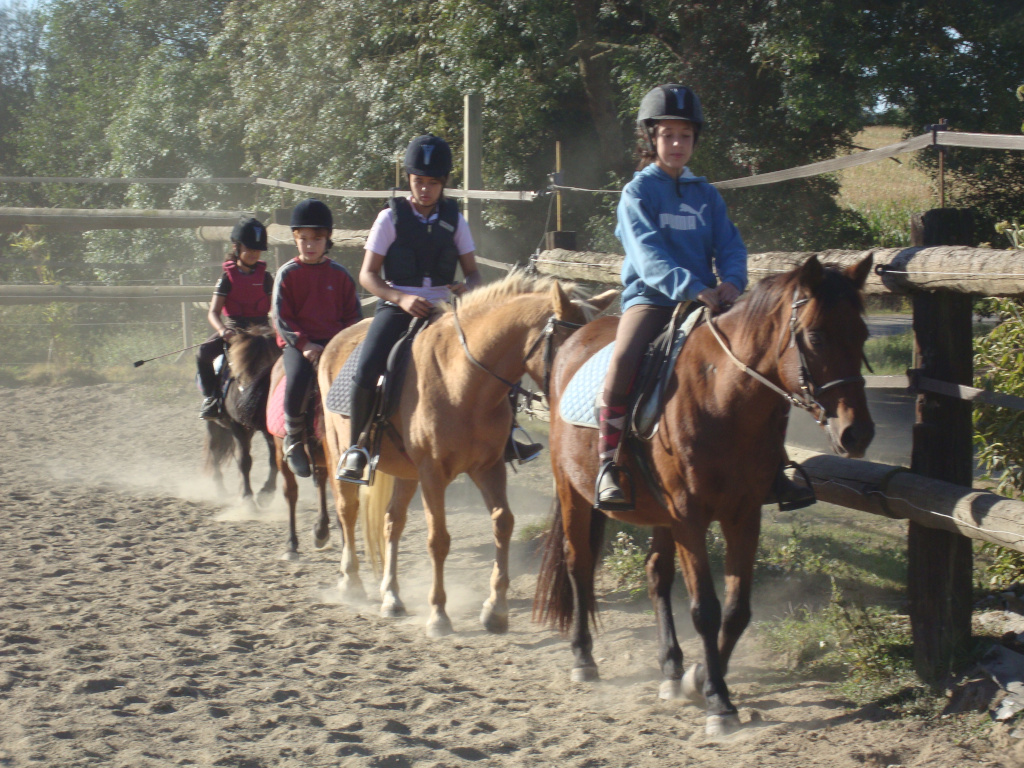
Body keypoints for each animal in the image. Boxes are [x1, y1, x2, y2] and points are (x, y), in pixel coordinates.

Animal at [202, 325, 280, 512]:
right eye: (242, 369)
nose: (247, 406)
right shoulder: (236, 425)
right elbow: (244, 460)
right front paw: (247, 498)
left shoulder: (267, 429)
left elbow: (274, 459)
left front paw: (266, 493)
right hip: (214, 426)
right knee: (215, 451)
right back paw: (221, 489)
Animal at [315, 274, 614, 638]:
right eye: (576, 348)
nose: (596, 408)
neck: (465, 381)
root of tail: (336, 340)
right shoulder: (432, 474)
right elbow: (438, 540)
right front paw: (438, 615)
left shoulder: (489, 467)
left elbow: (503, 523)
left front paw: (495, 610)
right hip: (339, 452)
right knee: (347, 510)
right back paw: (352, 584)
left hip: (405, 472)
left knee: (392, 522)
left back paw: (392, 597)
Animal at [532, 257, 876, 741]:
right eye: (816, 336)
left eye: (862, 334)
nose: (857, 434)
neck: (722, 397)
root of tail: (578, 338)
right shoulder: (689, 518)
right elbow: (706, 611)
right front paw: (718, 701)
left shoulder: (743, 516)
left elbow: (736, 611)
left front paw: (697, 679)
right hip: (574, 492)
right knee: (578, 563)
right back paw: (584, 657)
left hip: (658, 514)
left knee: (655, 575)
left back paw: (672, 670)